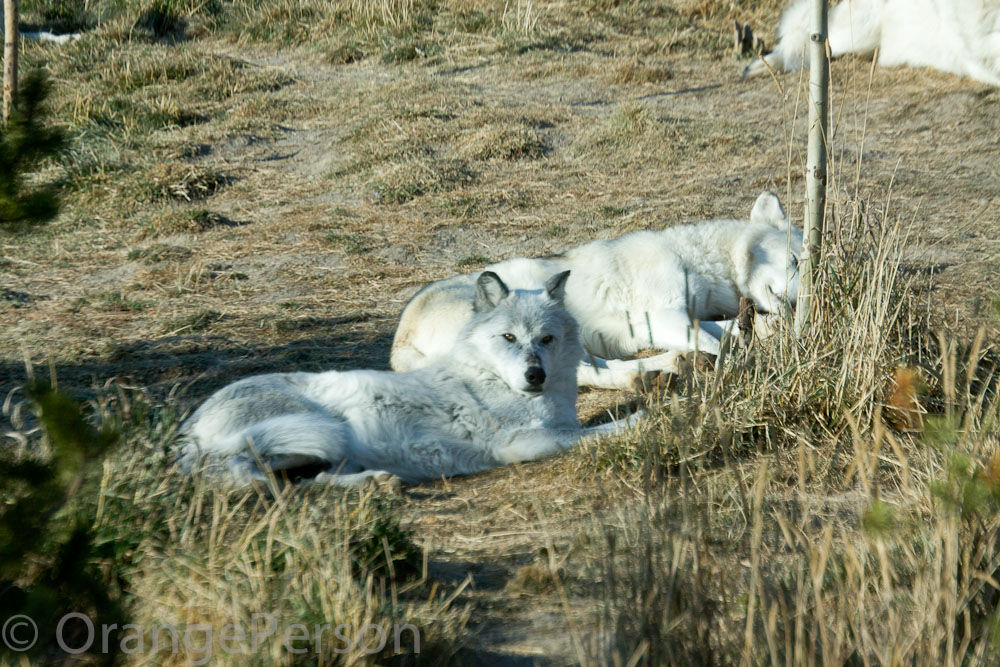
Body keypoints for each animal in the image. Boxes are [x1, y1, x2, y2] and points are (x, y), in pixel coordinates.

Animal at [179, 271, 634, 486]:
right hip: (312, 430)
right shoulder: (521, 443)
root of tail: (188, 426)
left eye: (546, 339)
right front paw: (638, 419)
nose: (534, 375)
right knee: (235, 476)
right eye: (508, 337)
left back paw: (373, 484)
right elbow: (595, 431)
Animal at [391, 192, 801, 391]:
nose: (801, 304)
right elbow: (721, 343)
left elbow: (727, 329)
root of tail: (399, 342)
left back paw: (667, 368)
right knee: (586, 374)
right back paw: (647, 379)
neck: (694, 257)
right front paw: (741, 366)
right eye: (797, 260)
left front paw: (763, 330)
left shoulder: (681, 318)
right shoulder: (661, 316)